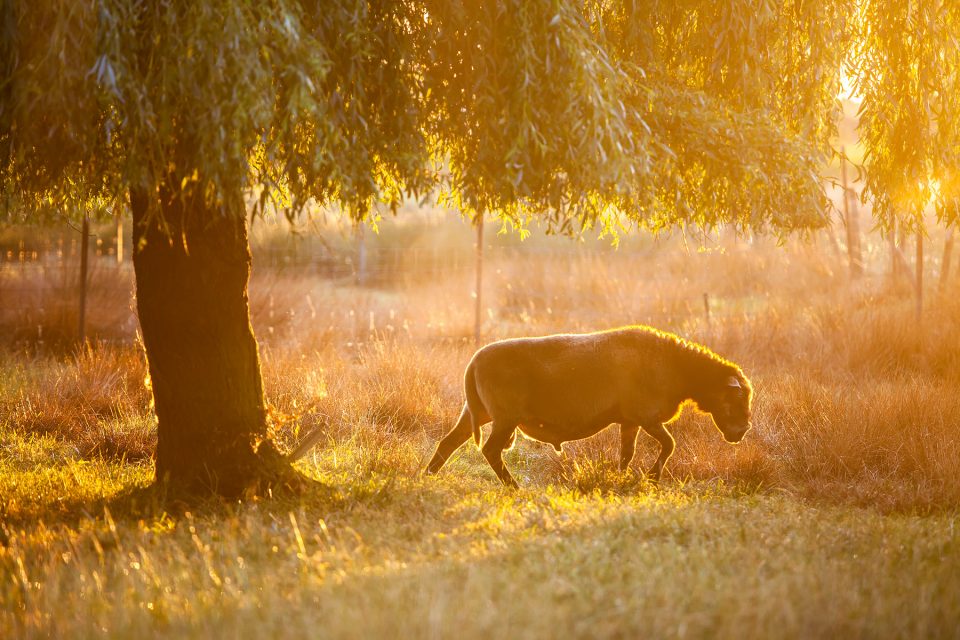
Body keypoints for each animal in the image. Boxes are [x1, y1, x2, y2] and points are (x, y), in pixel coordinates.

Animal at [426, 324, 752, 484]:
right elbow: (669, 445)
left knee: (448, 442)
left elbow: (627, 454)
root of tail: (475, 361)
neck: (678, 367)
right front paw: (653, 477)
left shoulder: (630, 421)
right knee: (490, 450)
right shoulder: (646, 417)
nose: (742, 431)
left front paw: (621, 478)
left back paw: (426, 476)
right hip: (505, 418)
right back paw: (513, 487)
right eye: (737, 398)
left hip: (476, 413)